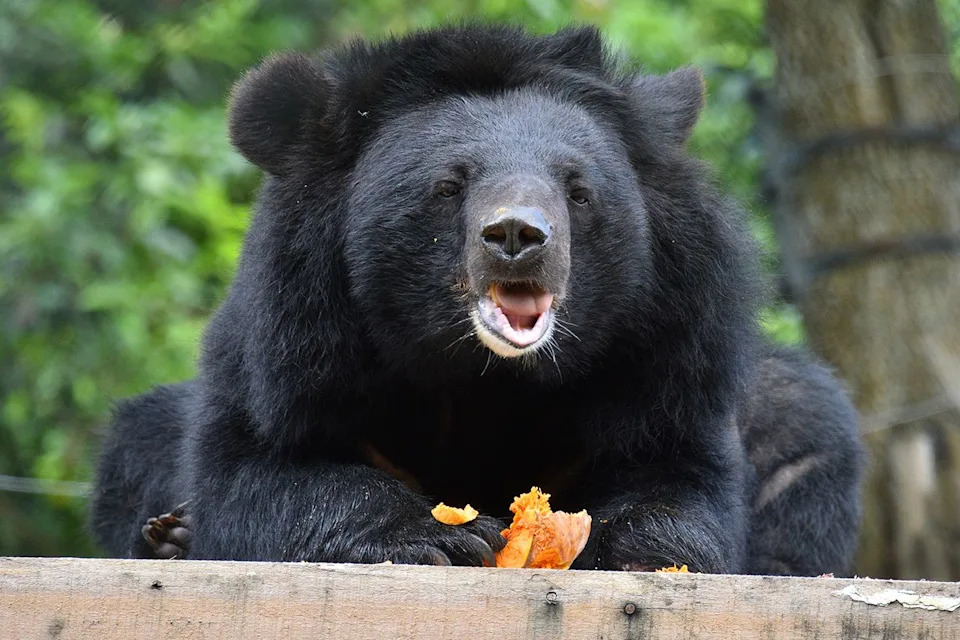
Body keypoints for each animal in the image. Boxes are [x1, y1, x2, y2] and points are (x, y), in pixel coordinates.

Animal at [90, 24, 864, 575]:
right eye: (449, 185)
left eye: (577, 190)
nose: (518, 235)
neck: (480, 375)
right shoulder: (293, 342)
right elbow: (264, 468)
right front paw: (441, 537)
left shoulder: (671, 345)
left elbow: (676, 472)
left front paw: (621, 548)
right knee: (144, 436)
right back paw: (170, 537)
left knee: (802, 438)